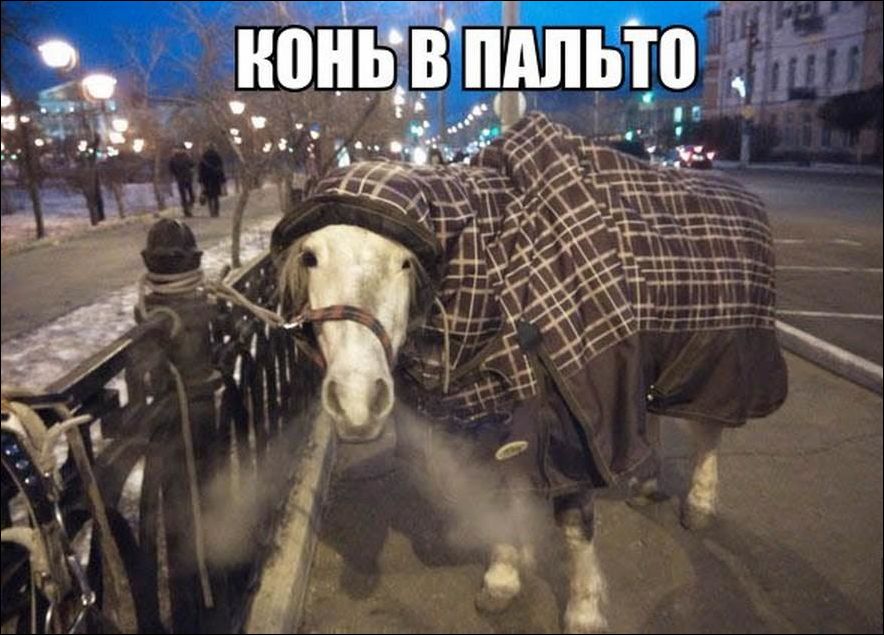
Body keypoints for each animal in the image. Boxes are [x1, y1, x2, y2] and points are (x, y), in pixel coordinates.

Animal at [270, 114, 788, 632]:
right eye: (310, 257)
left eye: (405, 262)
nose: (357, 400)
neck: (498, 282)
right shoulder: (490, 420)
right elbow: (498, 496)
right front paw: (502, 579)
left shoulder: (576, 424)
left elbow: (575, 524)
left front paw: (584, 610)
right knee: (651, 410)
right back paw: (646, 482)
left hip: (718, 354)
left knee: (708, 428)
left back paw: (698, 503)